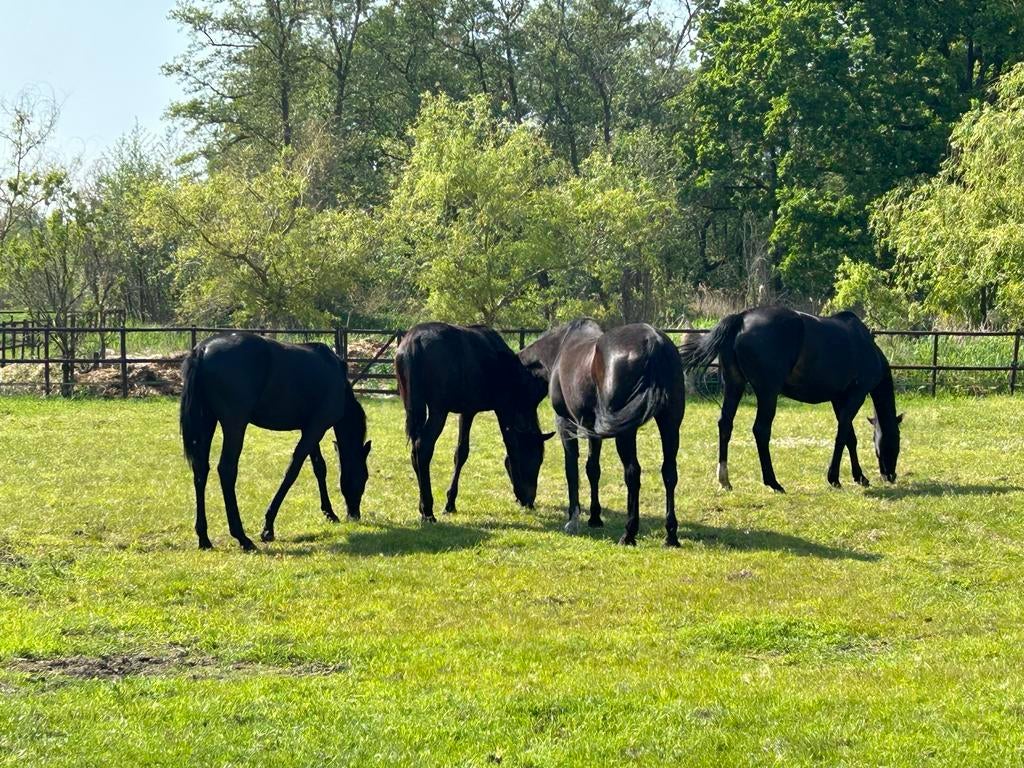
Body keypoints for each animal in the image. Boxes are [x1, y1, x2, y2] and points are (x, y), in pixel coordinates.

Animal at [180, 332, 371, 551]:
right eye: (363, 478)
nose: (354, 515)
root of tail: (202, 350)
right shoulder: (316, 427)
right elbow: (293, 470)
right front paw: (268, 527)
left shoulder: (309, 428)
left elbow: (319, 468)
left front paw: (330, 513)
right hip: (234, 424)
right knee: (226, 470)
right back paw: (242, 538)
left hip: (206, 421)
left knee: (201, 470)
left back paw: (204, 538)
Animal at [394, 323, 553, 522]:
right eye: (536, 459)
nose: (531, 500)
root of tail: (414, 340)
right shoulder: (504, 408)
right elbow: (512, 447)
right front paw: (520, 493)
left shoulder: (467, 412)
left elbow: (461, 452)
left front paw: (450, 503)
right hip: (439, 412)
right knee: (422, 448)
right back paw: (428, 510)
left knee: (415, 452)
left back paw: (423, 507)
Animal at [519, 319, 686, 547]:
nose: (524, 501)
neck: (558, 349)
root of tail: (653, 341)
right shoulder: (592, 429)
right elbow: (592, 469)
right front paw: (595, 518)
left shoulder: (565, 424)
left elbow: (571, 469)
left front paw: (573, 520)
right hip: (669, 423)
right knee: (669, 473)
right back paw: (671, 536)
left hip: (626, 433)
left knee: (633, 473)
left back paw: (629, 534)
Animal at [679, 306, 902, 493]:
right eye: (897, 440)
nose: (890, 475)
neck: (866, 346)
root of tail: (741, 318)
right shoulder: (856, 395)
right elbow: (842, 436)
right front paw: (834, 478)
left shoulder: (838, 399)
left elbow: (850, 437)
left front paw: (859, 477)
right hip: (768, 393)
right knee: (761, 430)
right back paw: (773, 482)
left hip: (735, 384)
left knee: (725, 424)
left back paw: (725, 480)